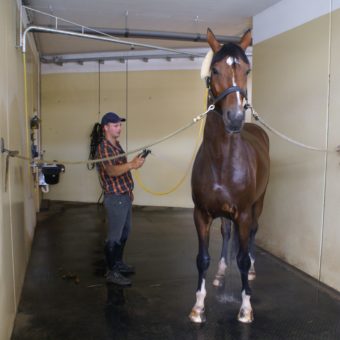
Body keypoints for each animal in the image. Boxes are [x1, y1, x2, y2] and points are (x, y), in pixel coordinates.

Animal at [190, 29, 270, 324]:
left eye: (247, 69)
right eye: (214, 70)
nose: (234, 118)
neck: (221, 160)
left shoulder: (244, 214)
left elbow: (243, 258)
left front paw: (246, 308)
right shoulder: (201, 214)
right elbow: (202, 258)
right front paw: (198, 307)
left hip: (259, 203)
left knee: (253, 235)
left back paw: (253, 271)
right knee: (226, 234)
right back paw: (222, 274)